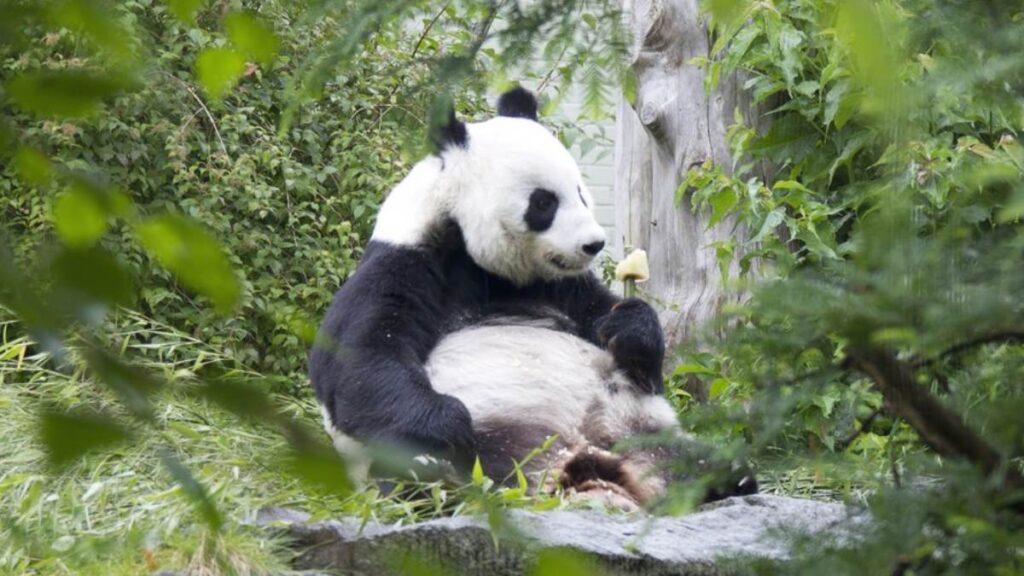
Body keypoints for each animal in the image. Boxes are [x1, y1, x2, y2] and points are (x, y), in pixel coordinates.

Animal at [309, 87, 755, 508]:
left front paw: (630, 326)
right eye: (544, 202)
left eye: (580, 192)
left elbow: (612, 327)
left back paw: (727, 482)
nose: (594, 244)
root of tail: (580, 467)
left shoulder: (558, 285)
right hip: (486, 455)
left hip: (639, 432)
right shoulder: (407, 261)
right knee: (421, 475)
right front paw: (450, 422)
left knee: (706, 460)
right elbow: (357, 360)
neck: (481, 261)